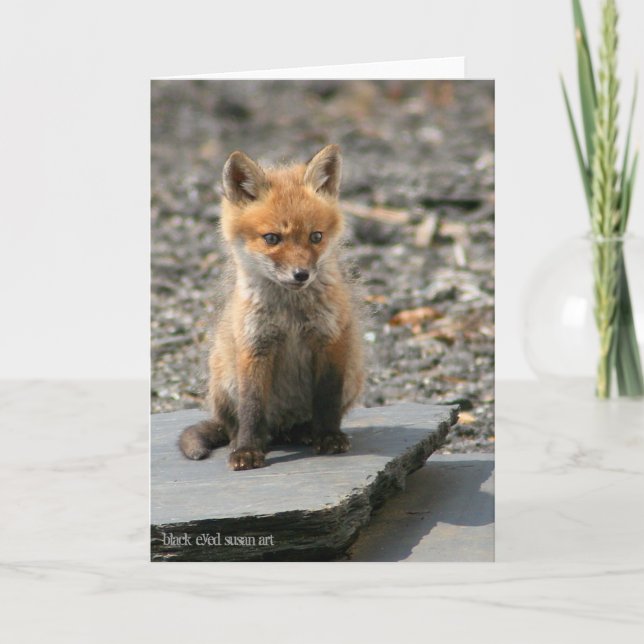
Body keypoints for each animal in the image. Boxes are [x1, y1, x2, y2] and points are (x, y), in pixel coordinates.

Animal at [179, 144, 365, 470]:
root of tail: (283, 427)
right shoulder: (255, 345)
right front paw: (247, 450)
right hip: (223, 378)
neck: (289, 316)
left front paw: (329, 437)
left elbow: (327, 399)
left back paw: (305, 432)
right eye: (272, 238)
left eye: (316, 236)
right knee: (234, 425)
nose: (301, 275)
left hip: (352, 375)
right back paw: (246, 440)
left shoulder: (330, 340)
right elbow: (252, 407)